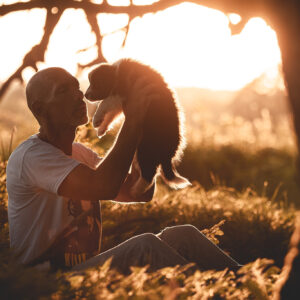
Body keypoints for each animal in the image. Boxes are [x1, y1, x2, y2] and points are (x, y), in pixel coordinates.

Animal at [85, 58, 191, 197]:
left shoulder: (121, 91)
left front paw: (96, 119)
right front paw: (101, 128)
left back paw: (136, 190)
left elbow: (105, 102)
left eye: (95, 83)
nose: (85, 95)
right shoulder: (121, 99)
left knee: (149, 174)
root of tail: (169, 153)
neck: (117, 72)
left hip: (146, 149)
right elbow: (112, 113)